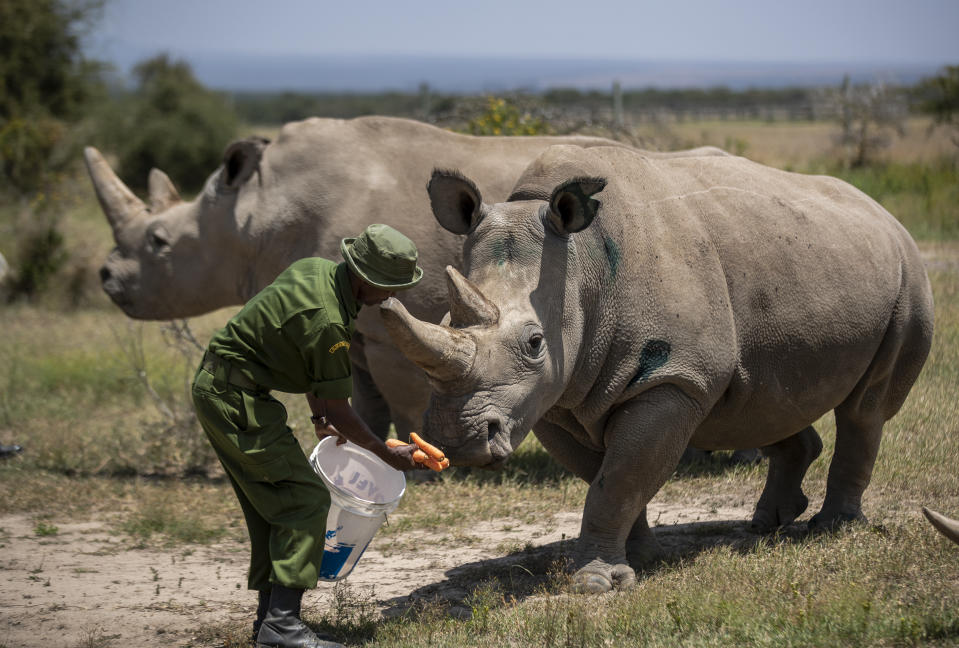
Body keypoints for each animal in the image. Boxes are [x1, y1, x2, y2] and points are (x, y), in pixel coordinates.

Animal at [86, 117, 688, 440]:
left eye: (158, 243)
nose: (106, 277)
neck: (251, 212)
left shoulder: (395, 324)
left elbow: (400, 393)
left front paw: (423, 452)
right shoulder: (351, 328)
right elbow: (361, 396)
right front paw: (361, 445)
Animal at [382, 143, 936, 592]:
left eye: (535, 343)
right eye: (444, 320)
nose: (457, 440)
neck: (580, 267)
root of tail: (882, 212)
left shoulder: (672, 379)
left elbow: (620, 478)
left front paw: (596, 584)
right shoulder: (556, 396)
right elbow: (608, 477)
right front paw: (641, 559)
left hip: (908, 276)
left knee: (865, 409)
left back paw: (833, 528)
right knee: (765, 396)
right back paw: (768, 523)